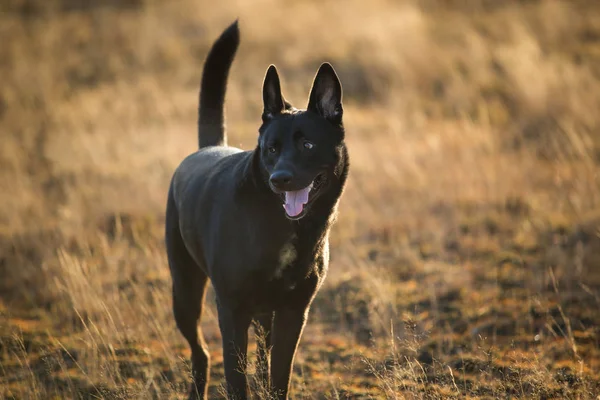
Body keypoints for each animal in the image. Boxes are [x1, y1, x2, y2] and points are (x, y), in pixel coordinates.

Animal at [166, 20, 350, 398]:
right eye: (271, 149)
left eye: (308, 145)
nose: (280, 179)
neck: (283, 227)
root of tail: (208, 147)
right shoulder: (231, 310)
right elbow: (236, 377)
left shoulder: (295, 311)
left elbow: (279, 375)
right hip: (185, 293)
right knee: (201, 352)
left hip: (265, 313)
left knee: (261, 357)